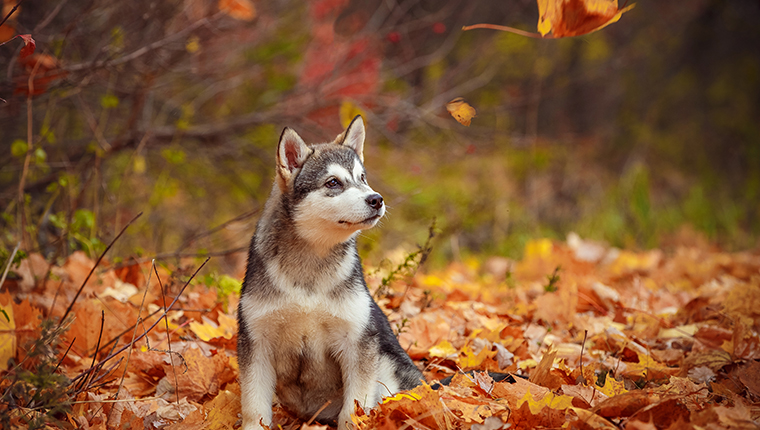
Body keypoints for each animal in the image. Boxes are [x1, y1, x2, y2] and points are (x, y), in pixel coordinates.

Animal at [238, 116, 424, 428]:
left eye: (362, 178)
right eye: (333, 182)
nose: (376, 199)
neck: (310, 267)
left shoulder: (358, 342)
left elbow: (354, 407)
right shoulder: (255, 343)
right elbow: (254, 408)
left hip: (387, 366)